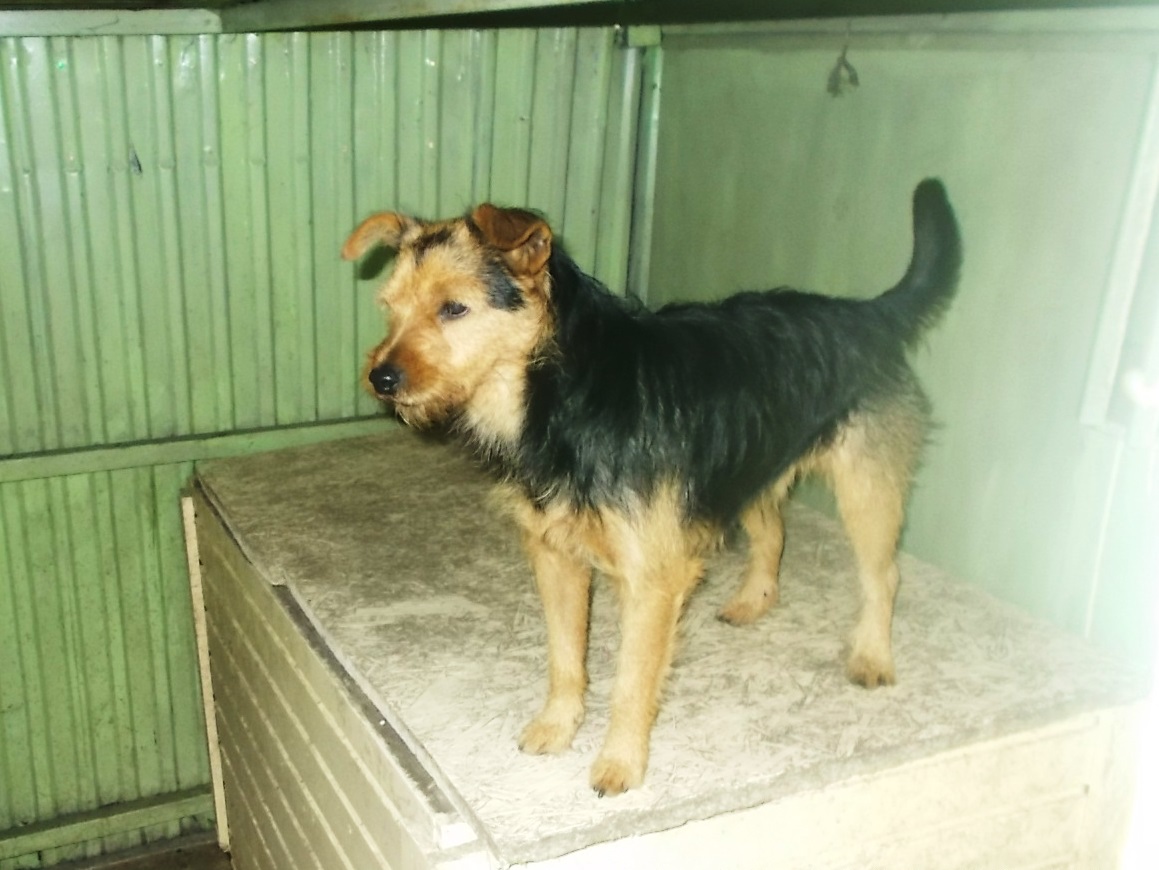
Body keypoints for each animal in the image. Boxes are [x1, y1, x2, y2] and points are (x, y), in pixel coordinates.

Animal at [343, 179, 962, 796]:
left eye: (454, 308)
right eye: (389, 307)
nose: (380, 378)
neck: (564, 396)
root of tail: (869, 315)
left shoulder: (651, 581)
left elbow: (631, 683)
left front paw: (620, 762)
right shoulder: (555, 557)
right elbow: (565, 658)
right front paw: (558, 725)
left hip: (865, 491)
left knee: (883, 575)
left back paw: (872, 654)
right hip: (744, 472)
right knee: (773, 531)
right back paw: (754, 601)